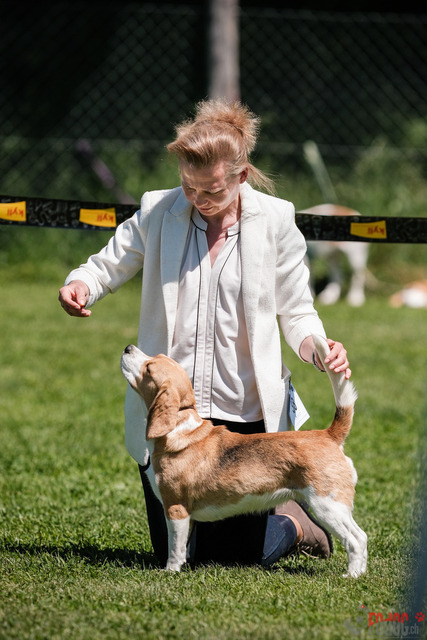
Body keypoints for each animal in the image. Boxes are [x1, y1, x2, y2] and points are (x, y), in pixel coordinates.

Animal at [121, 334, 367, 577]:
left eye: (149, 369)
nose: (128, 347)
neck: (180, 427)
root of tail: (328, 434)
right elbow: (185, 546)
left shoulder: (175, 509)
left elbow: (174, 546)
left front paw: (170, 571)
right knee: (362, 537)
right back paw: (361, 572)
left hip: (327, 505)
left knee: (356, 538)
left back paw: (352, 575)